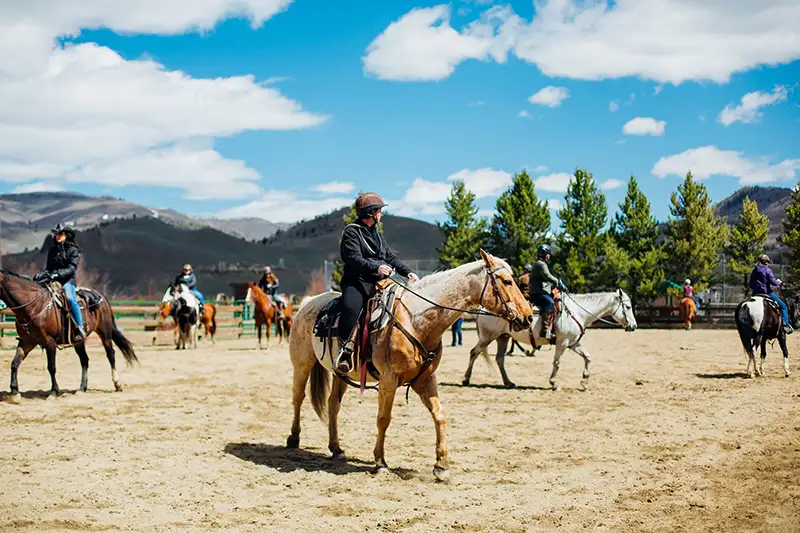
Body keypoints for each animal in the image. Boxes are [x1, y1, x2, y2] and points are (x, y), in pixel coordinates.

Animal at [0, 268, 138, 402]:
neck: (34, 306)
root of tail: (101, 296)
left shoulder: (50, 341)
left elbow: (51, 367)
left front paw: (54, 392)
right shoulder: (27, 341)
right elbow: (14, 363)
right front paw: (14, 392)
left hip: (105, 332)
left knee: (110, 354)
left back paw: (117, 383)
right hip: (79, 341)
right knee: (84, 360)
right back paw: (82, 388)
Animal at [284, 251, 536, 480]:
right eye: (507, 281)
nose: (529, 317)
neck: (416, 320)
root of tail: (307, 303)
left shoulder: (425, 379)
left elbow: (439, 415)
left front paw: (441, 465)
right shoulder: (388, 380)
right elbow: (383, 419)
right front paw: (381, 462)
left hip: (340, 373)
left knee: (333, 405)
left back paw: (336, 448)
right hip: (302, 364)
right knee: (298, 398)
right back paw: (293, 438)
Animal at [462, 288, 636, 388]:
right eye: (627, 307)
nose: (633, 326)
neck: (577, 312)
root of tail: (483, 308)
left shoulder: (573, 343)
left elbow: (587, 357)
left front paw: (584, 381)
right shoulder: (562, 343)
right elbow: (557, 363)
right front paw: (553, 382)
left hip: (502, 338)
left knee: (499, 359)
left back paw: (508, 382)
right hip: (487, 337)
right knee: (474, 352)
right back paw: (466, 379)